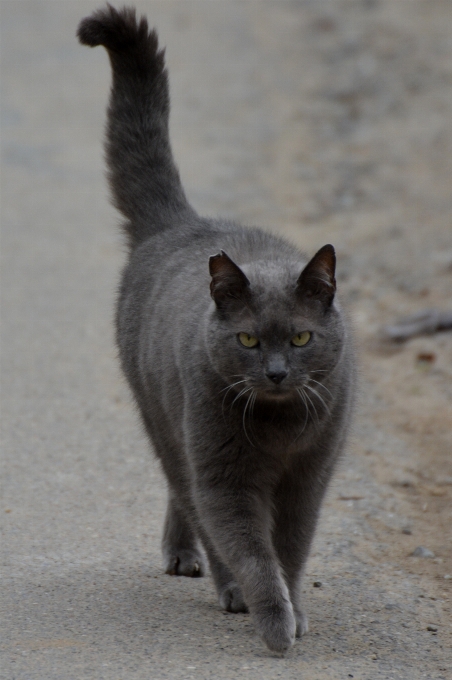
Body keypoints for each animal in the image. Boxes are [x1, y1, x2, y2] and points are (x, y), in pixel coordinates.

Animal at [77, 3, 354, 652]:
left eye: (301, 337)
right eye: (248, 339)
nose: (276, 373)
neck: (280, 429)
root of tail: (181, 223)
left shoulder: (310, 476)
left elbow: (291, 547)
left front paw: (293, 609)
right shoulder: (225, 475)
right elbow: (249, 548)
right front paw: (274, 622)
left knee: (186, 498)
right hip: (164, 414)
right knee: (189, 494)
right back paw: (215, 580)